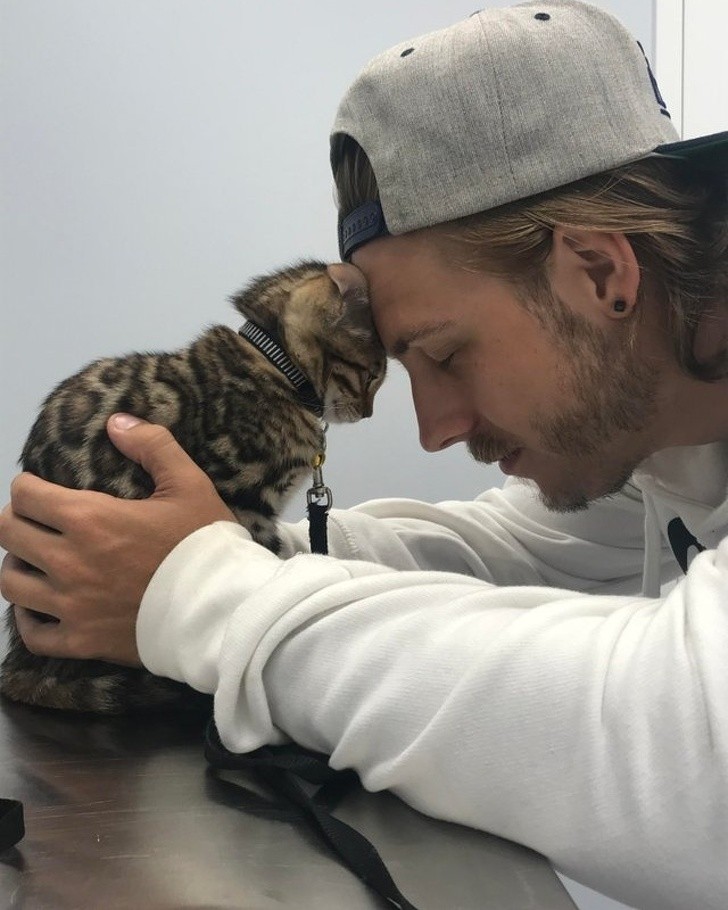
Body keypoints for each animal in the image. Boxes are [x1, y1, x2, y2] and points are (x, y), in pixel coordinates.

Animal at [1, 260, 386, 716]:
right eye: (373, 375)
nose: (368, 413)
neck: (274, 363)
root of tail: (21, 662)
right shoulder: (243, 501)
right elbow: (263, 555)